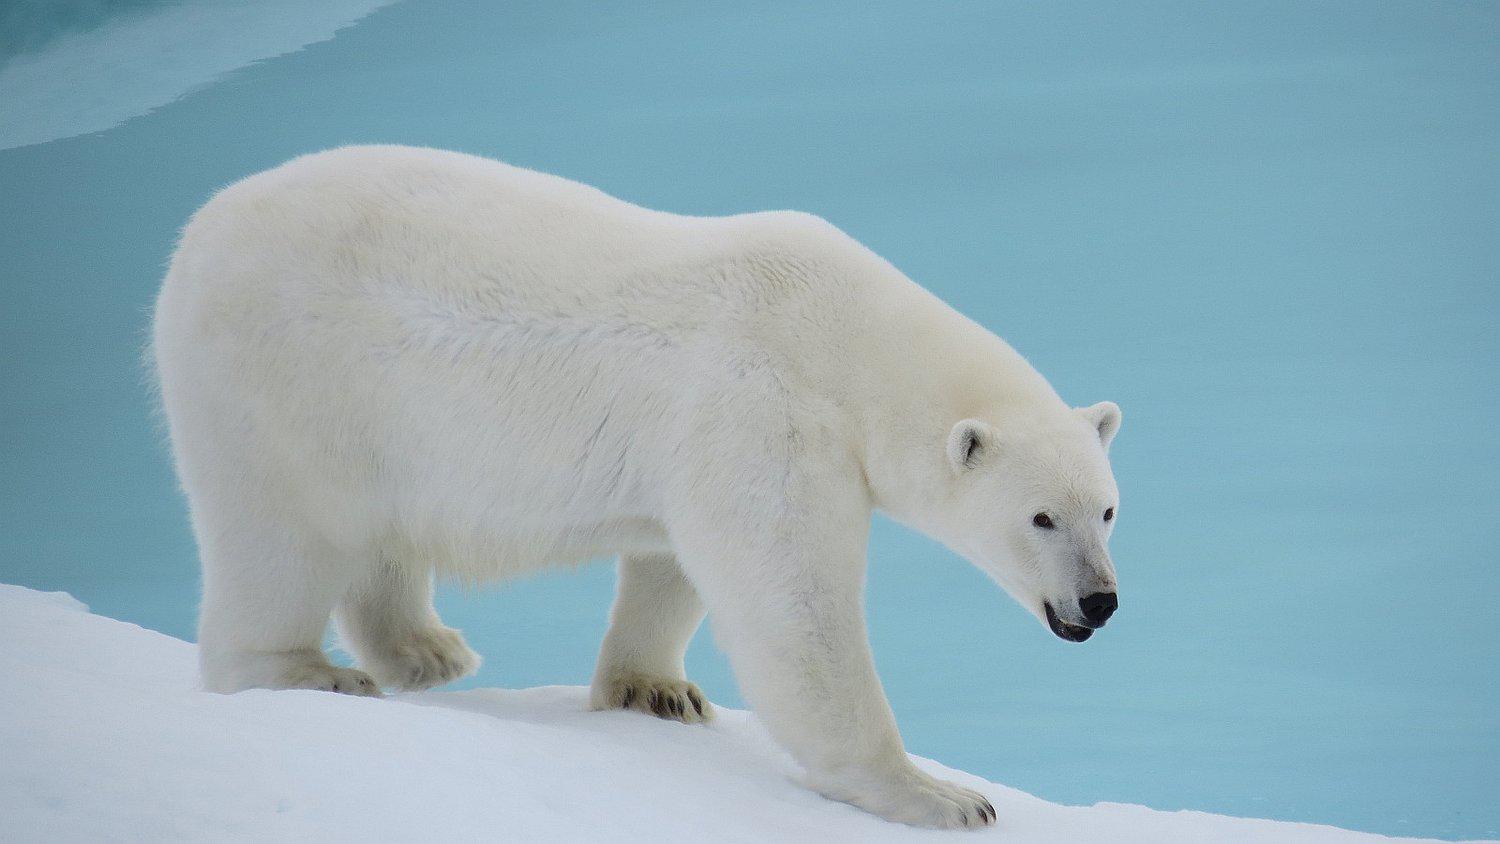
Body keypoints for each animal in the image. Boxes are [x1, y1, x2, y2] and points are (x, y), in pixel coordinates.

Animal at [152, 145, 1122, 830]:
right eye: (1041, 518)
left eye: (1108, 509)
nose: (1100, 601)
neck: (843, 336)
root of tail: (198, 233)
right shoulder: (763, 408)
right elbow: (794, 607)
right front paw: (940, 794)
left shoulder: (703, 439)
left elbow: (672, 563)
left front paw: (656, 690)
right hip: (283, 379)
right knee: (280, 536)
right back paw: (307, 672)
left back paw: (426, 649)